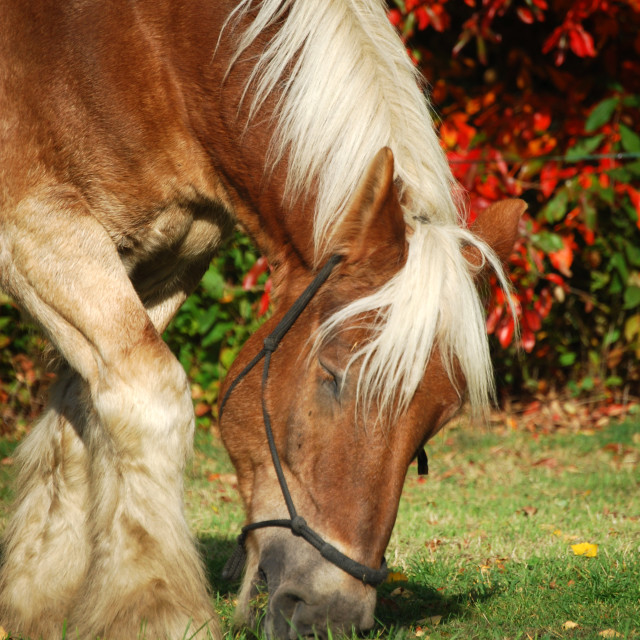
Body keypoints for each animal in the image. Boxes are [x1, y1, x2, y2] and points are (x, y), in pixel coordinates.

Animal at [0, 1, 524, 640]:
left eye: (436, 424)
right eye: (333, 374)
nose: (332, 613)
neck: (150, 47)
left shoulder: (167, 258)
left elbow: (78, 416)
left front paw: (38, 601)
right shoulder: (38, 232)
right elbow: (149, 400)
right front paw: (156, 611)